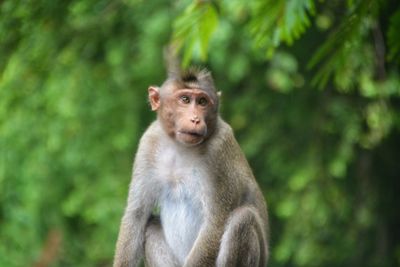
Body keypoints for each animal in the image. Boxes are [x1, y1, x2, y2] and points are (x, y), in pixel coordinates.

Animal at [112, 68, 268, 266]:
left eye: (202, 102)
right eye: (185, 99)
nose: (195, 119)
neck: (181, 147)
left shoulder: (219, 149)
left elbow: (215, 223)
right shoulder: (149, 143)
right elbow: (136, 215)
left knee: (243, 218)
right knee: (150, 226)